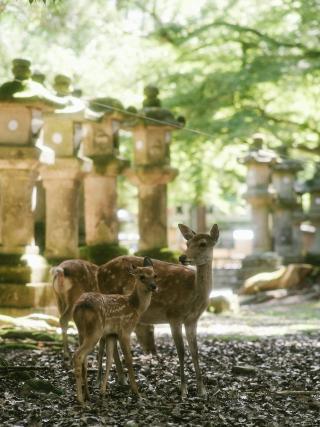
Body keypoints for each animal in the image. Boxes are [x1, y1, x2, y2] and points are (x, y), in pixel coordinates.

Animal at [73, 258, 158, 404]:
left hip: (81, 331)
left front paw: (102, 392)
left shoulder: (111, 334)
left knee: (84, 359)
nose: (153, 286)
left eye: (155, 275)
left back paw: (87, 395)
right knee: (78, 356)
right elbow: (129, 359)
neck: (135, 307)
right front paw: (136, 392)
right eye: (141, 277)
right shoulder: (125, 331)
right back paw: (80, 399)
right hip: (95, 330)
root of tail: (81, 306)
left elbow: (109, 360)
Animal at [98, 224, 220, 398]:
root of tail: (98, 270)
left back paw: (121, 379)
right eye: (188, 243)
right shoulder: (174, 315)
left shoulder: (192, 320)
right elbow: (181, 351)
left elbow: (195, 351)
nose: (182, 257)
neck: (194, 296)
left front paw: (202, 390)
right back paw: (122, 380)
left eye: (203, 243)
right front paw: (183, 390)